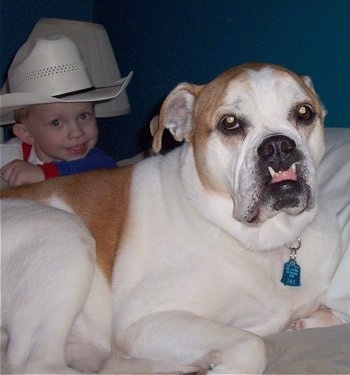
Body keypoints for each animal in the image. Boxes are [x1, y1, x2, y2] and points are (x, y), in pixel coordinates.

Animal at [0, 63, 344, 374]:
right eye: (230, 122)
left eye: (304, 112)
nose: (278, 146)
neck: (266, 241)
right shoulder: (144, 320)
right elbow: (250, 344)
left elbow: (333, 316)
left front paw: (306, 323)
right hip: (65, 233)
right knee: (38, 364)